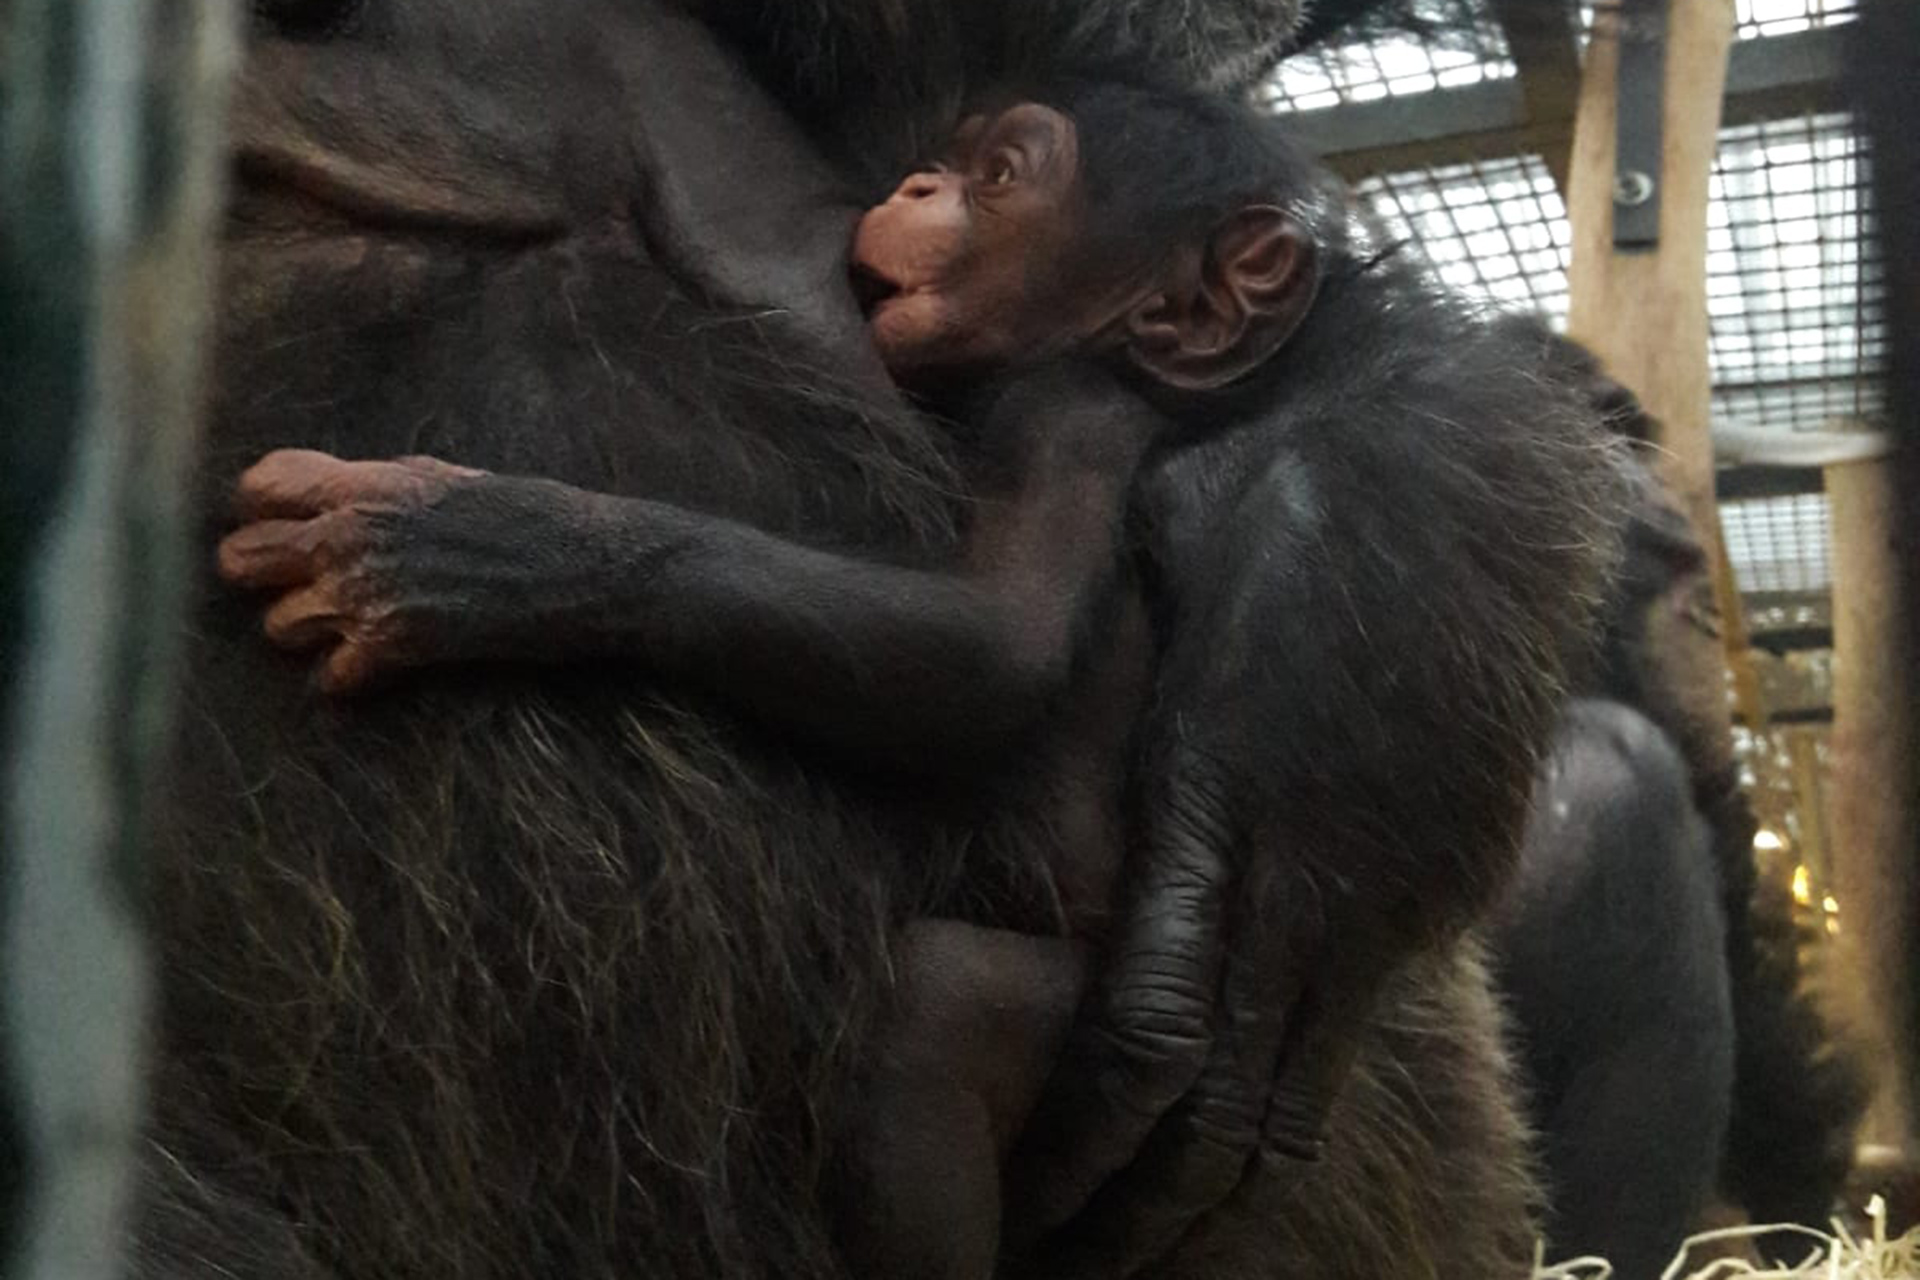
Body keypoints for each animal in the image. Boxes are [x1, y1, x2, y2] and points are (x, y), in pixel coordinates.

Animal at [139, 2, 1605, 1280]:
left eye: (1004, 175)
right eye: (957, 163)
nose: (913, 190)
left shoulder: (1066, 414)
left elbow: (988, 647)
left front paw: (1316, 688)